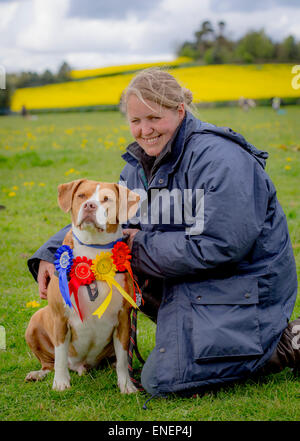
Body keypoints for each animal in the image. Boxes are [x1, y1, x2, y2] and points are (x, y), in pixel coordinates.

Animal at [24, 179, 139, 392]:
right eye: (81, 196)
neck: (93, 250)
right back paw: (39, 374)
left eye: (107, 199)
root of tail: (81, 366)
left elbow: (122, 359)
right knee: (49, 363)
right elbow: (60, 356)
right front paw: (61, 383)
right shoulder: (60, 318)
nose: (90, 206)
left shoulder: (123, 319)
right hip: (35, 322)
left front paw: (127, 385)